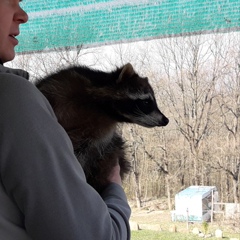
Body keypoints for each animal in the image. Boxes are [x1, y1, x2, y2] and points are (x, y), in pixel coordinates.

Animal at [36, 62, 169, 192]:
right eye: (146, 102)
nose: (166, 120)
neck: (102, 108)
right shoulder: (62, 84)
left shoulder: (99, 134)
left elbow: (86, 151)